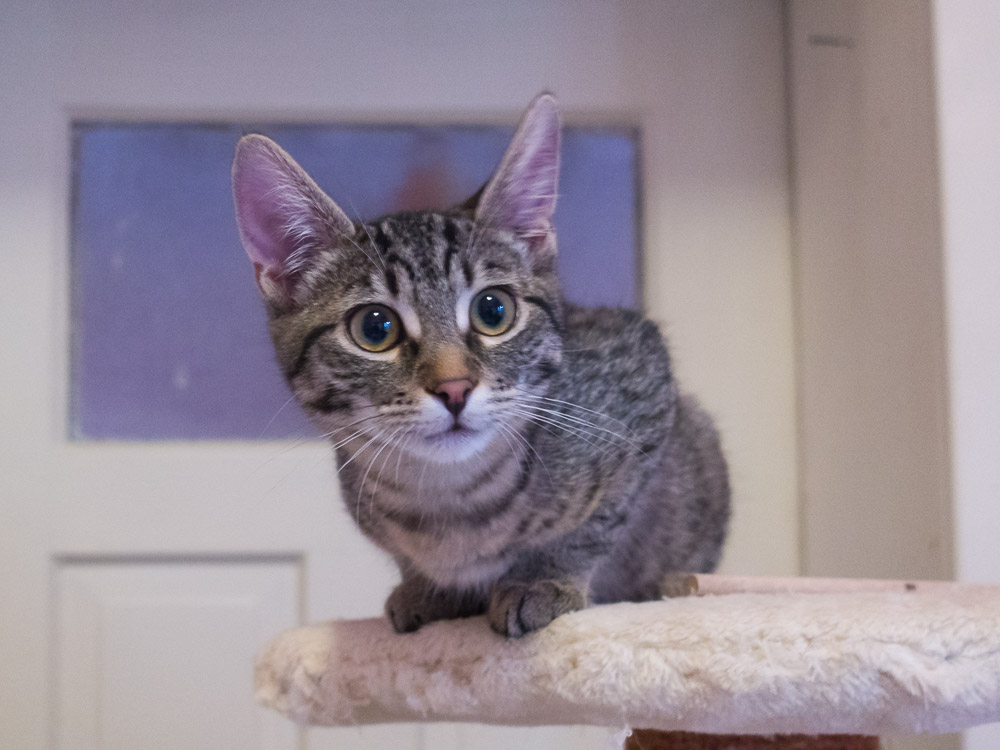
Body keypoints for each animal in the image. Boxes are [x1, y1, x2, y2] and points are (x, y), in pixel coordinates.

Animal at [231, 92, 732, 636]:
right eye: (375, 329)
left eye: (494, 311)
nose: (454, 387)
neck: (451, 502)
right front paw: (427, 588)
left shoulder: (643, 381)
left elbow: (596, 523)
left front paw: (544, 578)